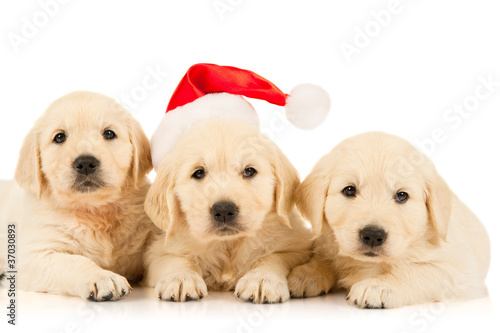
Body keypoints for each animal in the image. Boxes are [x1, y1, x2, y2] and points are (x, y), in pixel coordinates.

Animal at [0, 91, 155, 300]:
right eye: (59, 137)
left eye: (109, 133)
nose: (86, 163)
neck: (95, 211)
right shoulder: (33, 255)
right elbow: (75, 261)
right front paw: (102, 276)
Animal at [143, 120, 310, 304]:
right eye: (198, 172)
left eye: (249, 171)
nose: (223, 210)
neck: (228, 244)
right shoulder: (158, 252)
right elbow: (177, 259)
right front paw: (181, 277)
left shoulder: (296, 247)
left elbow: (273, 257)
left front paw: (261, 278)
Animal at [288, 131, 490, 308]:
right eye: (349, 190)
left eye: (402, 195)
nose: (372, 235)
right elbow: (327, 258)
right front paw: (307, 273)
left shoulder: (462, 272)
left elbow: (419, 270)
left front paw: (378, 286)